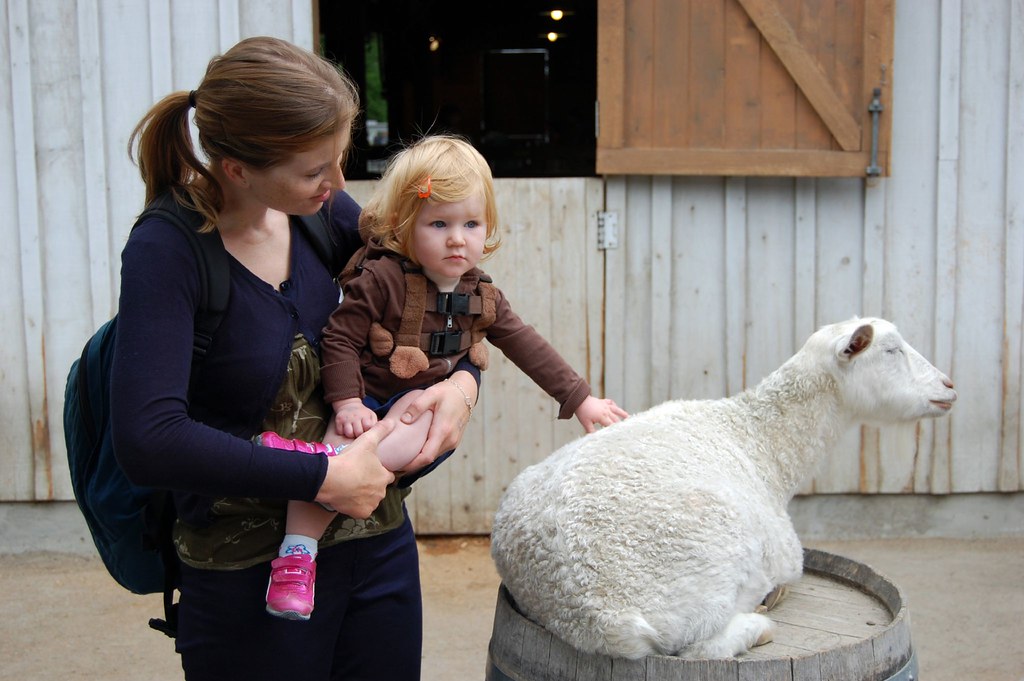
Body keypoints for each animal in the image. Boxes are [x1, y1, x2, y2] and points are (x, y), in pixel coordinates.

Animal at [491, 317, 954, 659]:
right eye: (891, 350)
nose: (949, 387)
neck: (758, 441)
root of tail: (600, 614)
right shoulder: (785, 553)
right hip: (704, 583)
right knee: (700, 649)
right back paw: (758, 624)